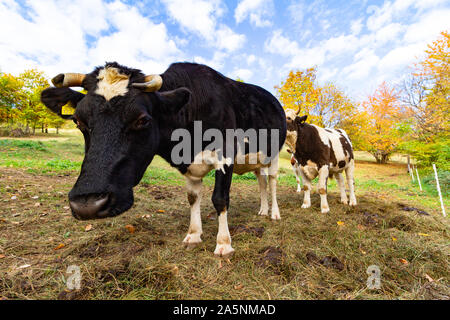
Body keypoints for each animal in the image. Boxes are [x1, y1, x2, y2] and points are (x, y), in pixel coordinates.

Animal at [39, 62, 284, 258]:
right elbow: (192, 198)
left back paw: (274, 213)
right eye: (77, 120)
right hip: (256, 160)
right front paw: (193, 235)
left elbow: (220, 198)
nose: (87, 205)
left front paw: (224, 244)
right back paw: (263, 210)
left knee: (271, 182)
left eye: (142, 120)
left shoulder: (225, 155)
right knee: (261, 181)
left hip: (273, 155)